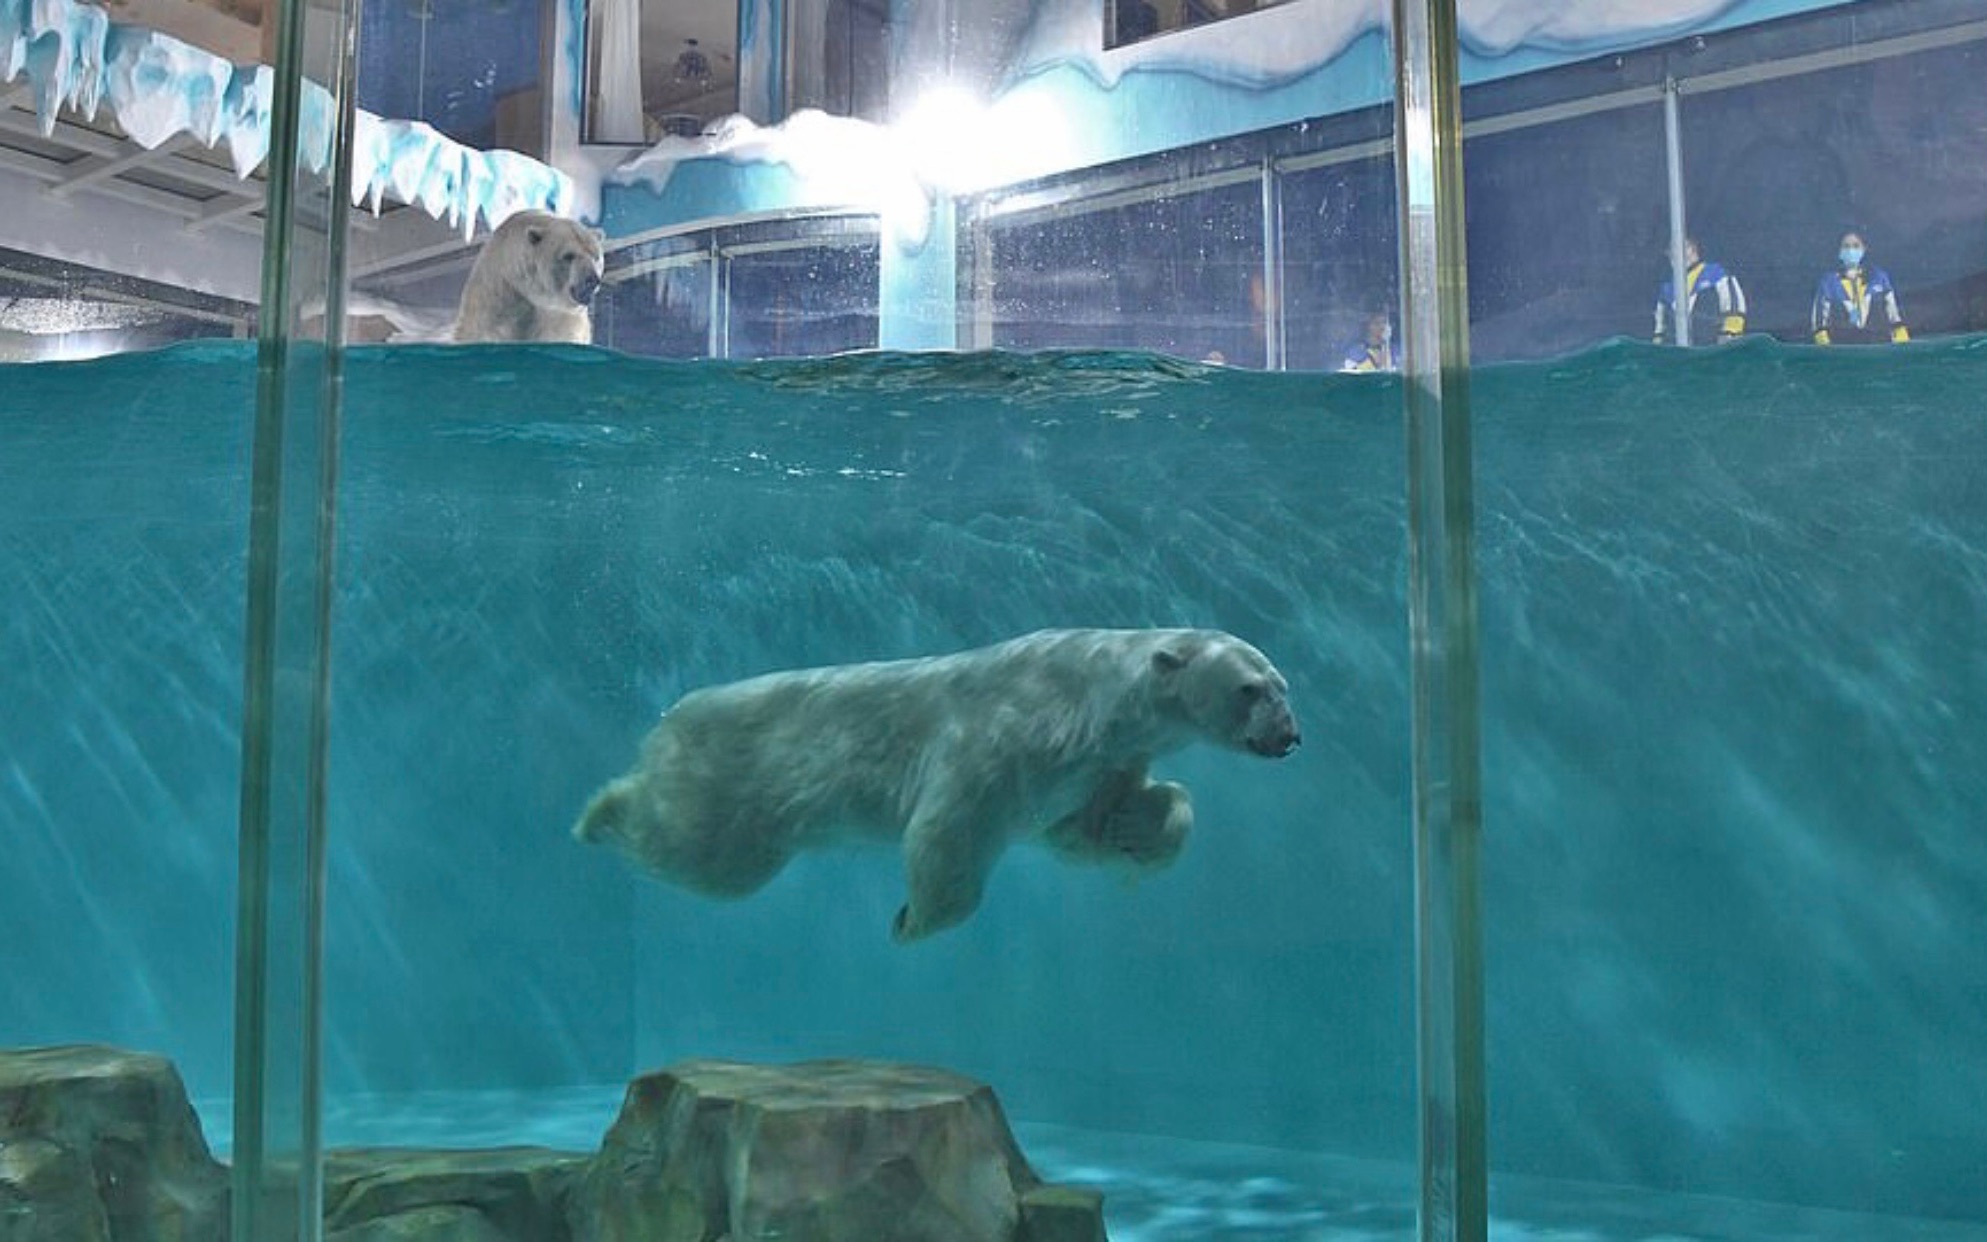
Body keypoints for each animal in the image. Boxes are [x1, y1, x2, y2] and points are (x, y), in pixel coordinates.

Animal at [572, 628, 1301, 942]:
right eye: (1249, 689)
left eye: (1283, 685)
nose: (1290, 737)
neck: (1090, 697)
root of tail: (671, 718)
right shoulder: (1006, 736)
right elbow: (947, 830)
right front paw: (910, 922)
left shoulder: (1093, 765)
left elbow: (1085, 826)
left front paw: (1137, 829)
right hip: (731, 781)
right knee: (699, 853)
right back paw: (596, 810)